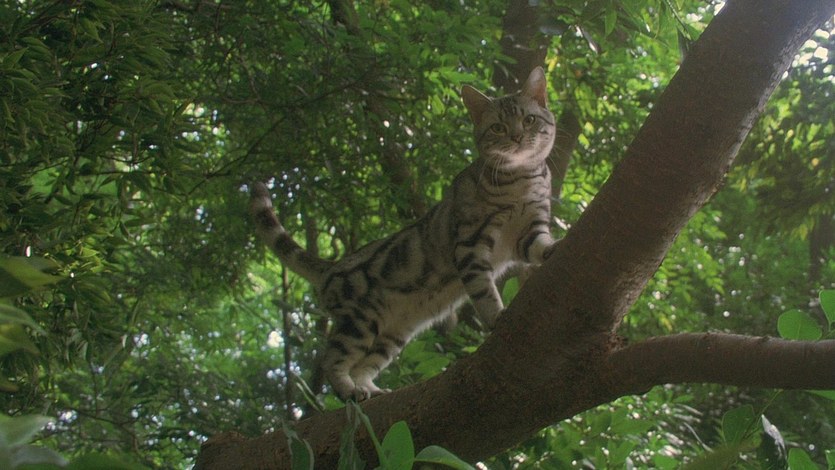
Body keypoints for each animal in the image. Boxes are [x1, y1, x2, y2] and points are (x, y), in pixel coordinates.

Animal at [250, 66, 557, 401]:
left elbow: (540, 245)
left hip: (393, 335)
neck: (521, 179)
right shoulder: (470, 244)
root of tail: (334, 265)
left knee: (363, 365)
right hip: (360, 321)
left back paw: (372, 390)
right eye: (499, 128)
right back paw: (349, 391)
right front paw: (496, 316)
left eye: (529, 120)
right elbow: (484, 292)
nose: (517, 136)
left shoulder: (528, 231)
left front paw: (554, 248)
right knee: (331, 359)